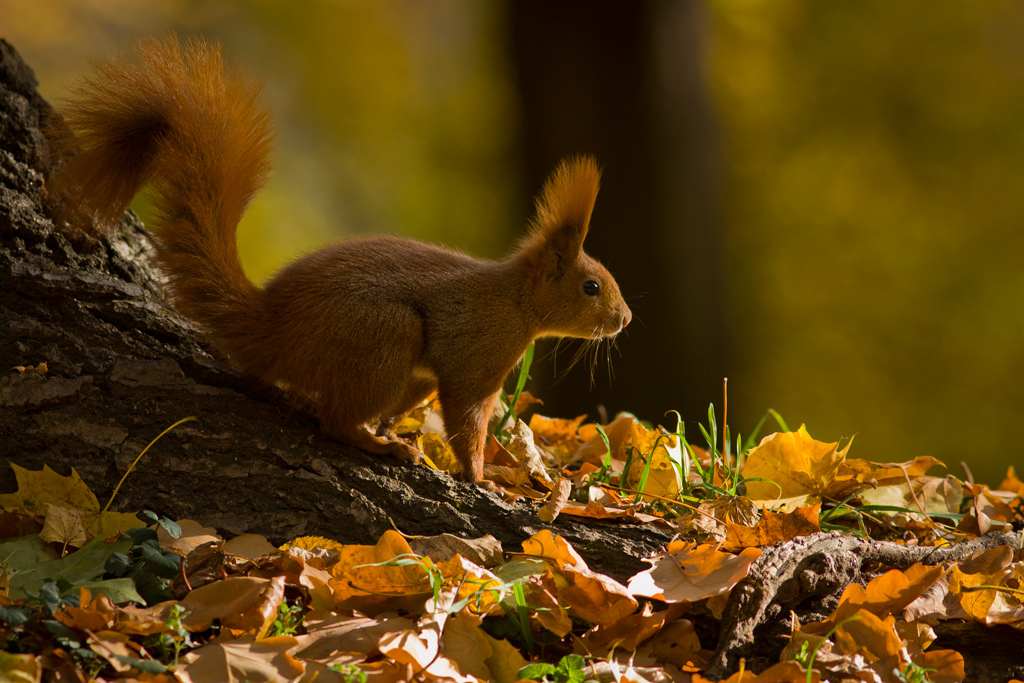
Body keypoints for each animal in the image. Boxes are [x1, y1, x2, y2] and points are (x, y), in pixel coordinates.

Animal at [48, 36, 631, 485]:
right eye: (591, 287)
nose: (625, 320)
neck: (515, 302)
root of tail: (274, 330)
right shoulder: (473, 362)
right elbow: (467, 422)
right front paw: (481, 477)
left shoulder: (431, 374)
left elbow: (417, 403)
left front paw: (399, 428)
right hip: (384, 336)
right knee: (335, 420)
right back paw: (379, 446)